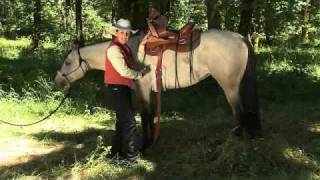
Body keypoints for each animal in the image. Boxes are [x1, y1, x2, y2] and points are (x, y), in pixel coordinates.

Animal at [54, 28, 260, 150]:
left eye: (68, 62)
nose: (58, 81)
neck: (129, 52)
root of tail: (240, 37)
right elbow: (150, 114)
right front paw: (153, 140)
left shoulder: (143, 88)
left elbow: (145, 115)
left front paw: (145, 145)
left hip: (230, 86)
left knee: (240, 111)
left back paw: (241, 139)